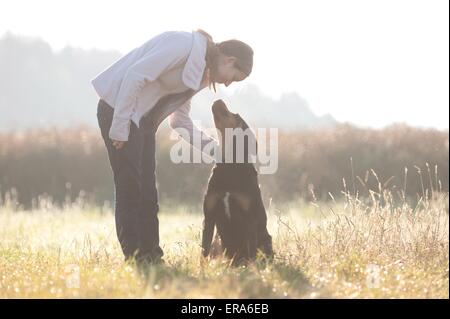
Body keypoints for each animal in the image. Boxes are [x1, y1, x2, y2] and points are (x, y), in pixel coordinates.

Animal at [201, 99, 272, 264]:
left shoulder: (249, 218)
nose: (219, 100)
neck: (230, 165)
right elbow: (204, 251)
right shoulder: (209, 216)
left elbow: (251, 252)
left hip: (266, 240)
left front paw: (252, 269)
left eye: (236, 115)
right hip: (218, 242)